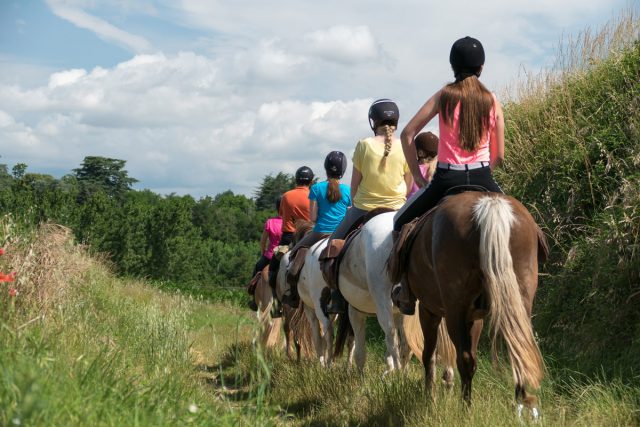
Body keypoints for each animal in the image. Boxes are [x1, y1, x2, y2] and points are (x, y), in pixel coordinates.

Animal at [402, 192, 548, 420]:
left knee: (464, 360)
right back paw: (521, 407)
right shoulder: (474, 317)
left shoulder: (429, 310)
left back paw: (466, 409)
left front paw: (430, 399)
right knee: (519, 349)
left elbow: (429, 354)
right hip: (520, 300)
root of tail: (489, 204)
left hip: (454, 311)